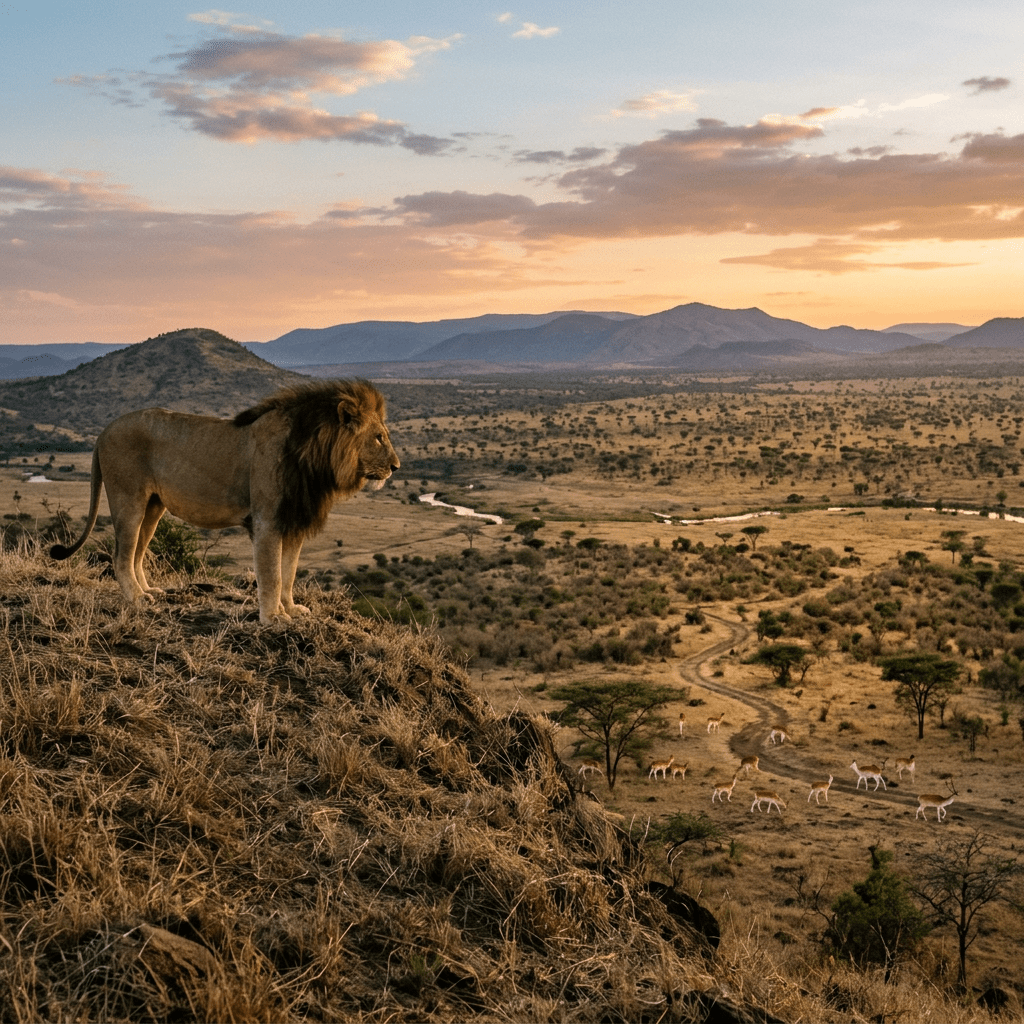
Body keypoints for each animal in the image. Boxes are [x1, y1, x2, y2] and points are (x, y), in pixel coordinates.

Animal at [50, 379, 399, 623]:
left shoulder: (292, 520)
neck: (315, 457)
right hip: (128, 498)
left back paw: (149, 591)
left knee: (136, 553)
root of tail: (103, 432)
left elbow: (289, 573)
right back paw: (137, 598)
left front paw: (290, 609)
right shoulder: (267, 520)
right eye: (379, 437)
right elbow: (272, 574)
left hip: (153, 506)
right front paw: (273, 618)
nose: (396, 466)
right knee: (121, 555)